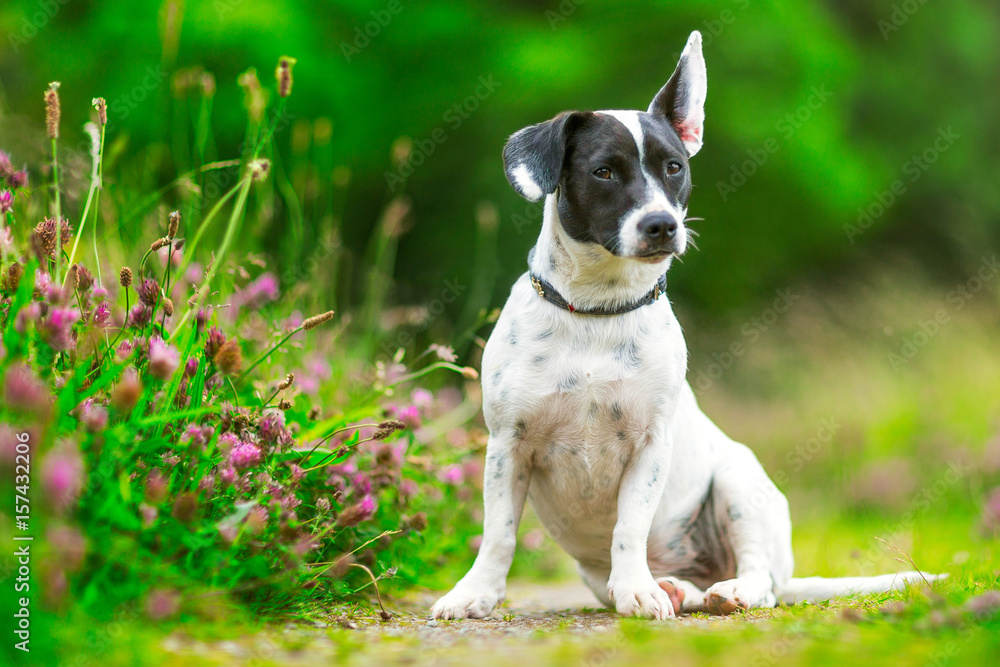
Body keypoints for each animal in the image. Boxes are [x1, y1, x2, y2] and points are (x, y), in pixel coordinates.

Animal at [430, 28, 936, 620]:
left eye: (674, 167)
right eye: (603, 171)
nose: (662, 225)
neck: (598, 313)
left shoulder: (649, 447)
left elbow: (628, 527)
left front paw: (636, 590)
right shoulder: (508, 445)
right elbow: (499, 533)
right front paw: (476, 594)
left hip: (739, 481)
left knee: (761, 580)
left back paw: (726, 590)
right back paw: (675, 587)